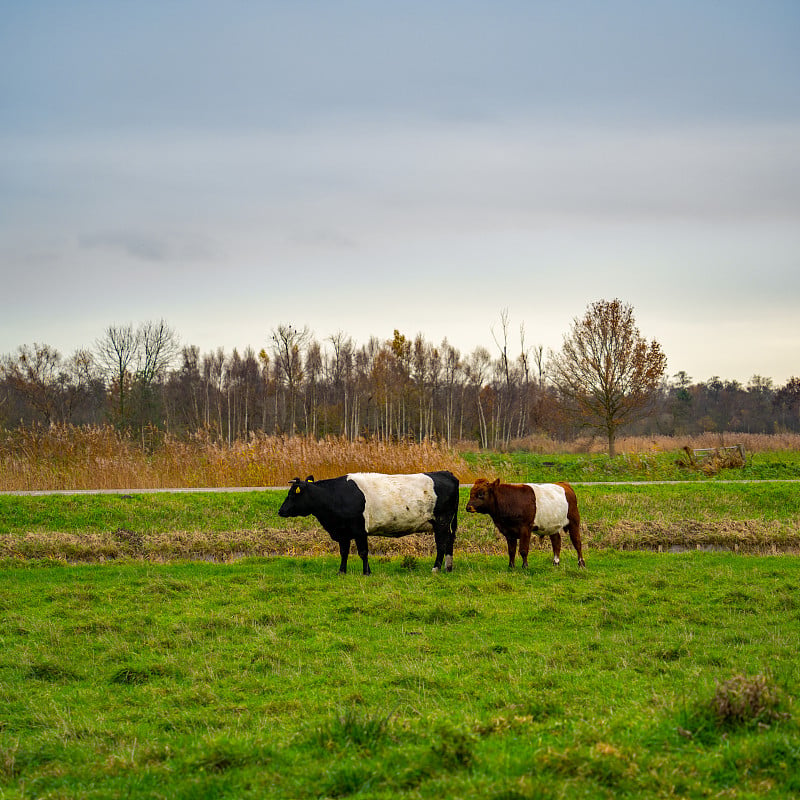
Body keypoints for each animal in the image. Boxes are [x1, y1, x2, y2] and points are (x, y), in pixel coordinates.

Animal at [278, 468, 460, 576]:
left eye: (292, 494)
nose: (281, 511)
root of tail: (446, 473)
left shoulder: (359, 530)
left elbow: (363, 552)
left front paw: (366, 572)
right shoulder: (343, 532)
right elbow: (344, 552)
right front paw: (341, 572)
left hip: (441, 521)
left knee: (441, 544)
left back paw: (436, 568)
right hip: (445, 524)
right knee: (449, 541)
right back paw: (448, 567)